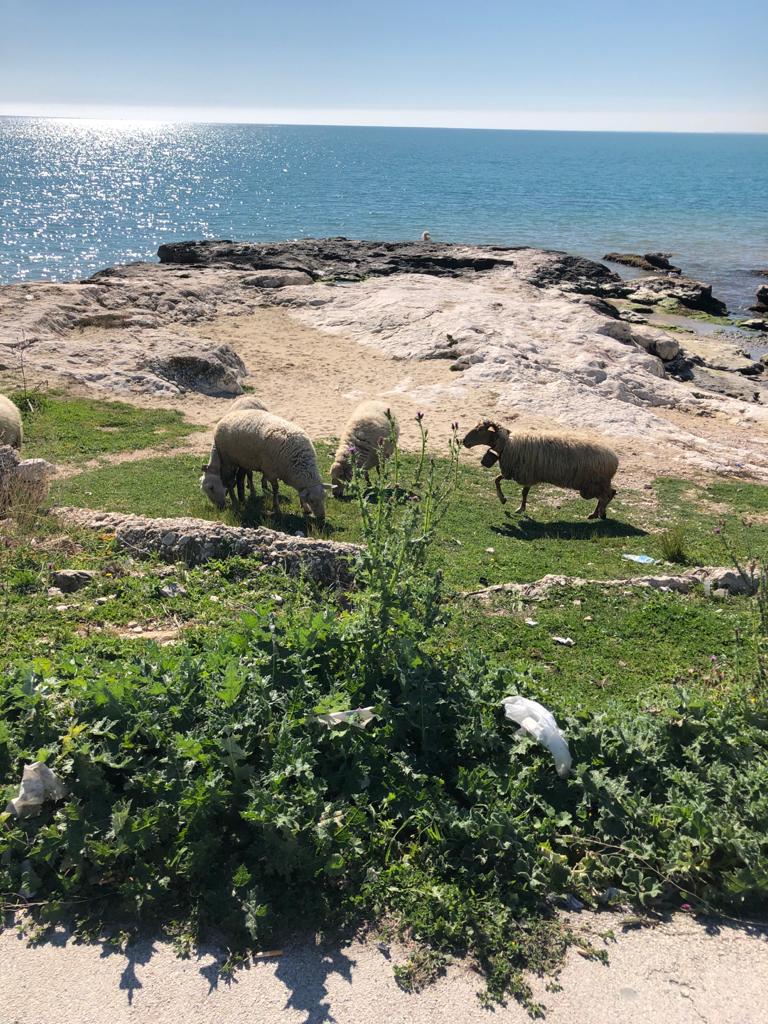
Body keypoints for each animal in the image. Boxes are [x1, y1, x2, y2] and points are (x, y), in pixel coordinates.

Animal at [462, 418, 619, 519]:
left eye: (480, 430)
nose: (463, 441)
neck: (506, 444)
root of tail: (615, 459)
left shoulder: (525, 473)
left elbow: (522, 492)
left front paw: (518, 507)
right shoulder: (516, 472)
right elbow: (497, 480)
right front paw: (505, 500)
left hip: (592, 484)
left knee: (606, 496)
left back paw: (601, 513)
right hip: (596, 484)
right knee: (610, 493)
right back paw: (595, 514)